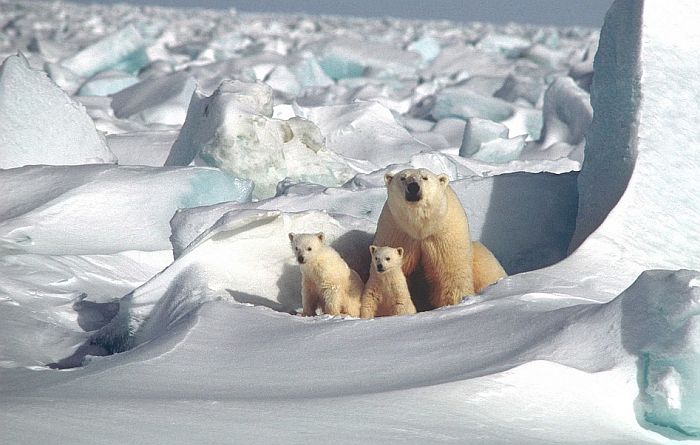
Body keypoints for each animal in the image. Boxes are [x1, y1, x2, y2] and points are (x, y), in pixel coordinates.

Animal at [374, 168, 506, 310]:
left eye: (425, 177)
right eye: (403, 178)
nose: (413, 187)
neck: (420, 227)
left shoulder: (443, 235)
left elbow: (451, 274)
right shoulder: (397, 233)